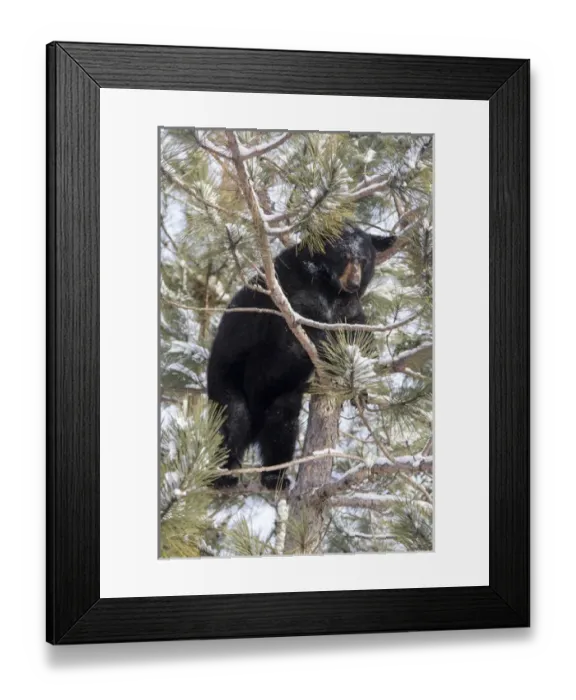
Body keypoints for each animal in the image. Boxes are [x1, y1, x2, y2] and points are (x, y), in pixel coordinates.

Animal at [206, 226, 396, 491]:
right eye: (344, 256)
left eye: (364, 260)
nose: (353, 282)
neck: (330, 287)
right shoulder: (291, 294)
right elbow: (302, 325)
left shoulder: (347, 306)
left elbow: (359, 331)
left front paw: (361, 385)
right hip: (226, 380)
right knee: (232, 421)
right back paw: (224, 475)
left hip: (282, 400)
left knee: (282, 427)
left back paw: (275, 477)